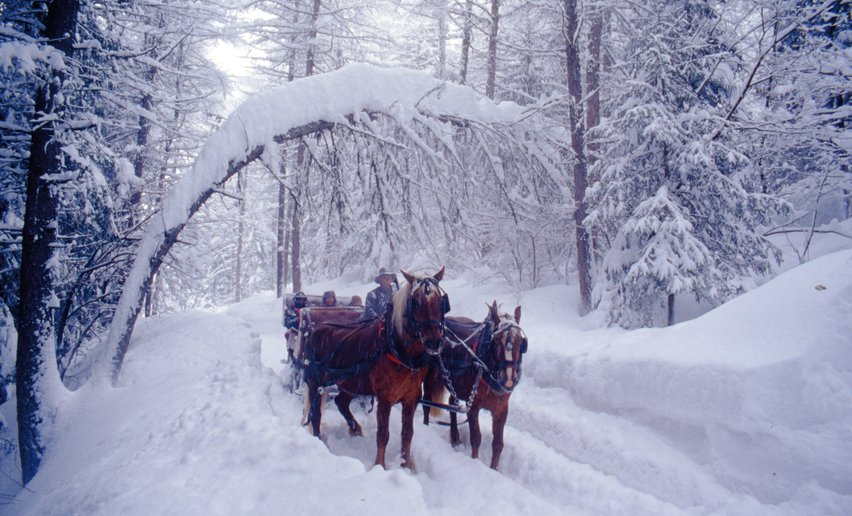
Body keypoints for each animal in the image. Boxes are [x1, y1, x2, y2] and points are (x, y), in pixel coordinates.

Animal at [300, 268, 450, 470]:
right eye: (415, 302)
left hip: (351, 383)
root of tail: (315, 329)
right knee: (316, 413)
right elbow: (383, 434)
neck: (399, 351)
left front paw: (406, 466)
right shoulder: (385, 397)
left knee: (341, 401)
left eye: (441, 302)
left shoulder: (411, 398)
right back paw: (319, 441)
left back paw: (355, 429)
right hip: (316, 382)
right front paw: (380, 465)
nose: (434, 342)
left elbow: (407, 434)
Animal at [422, 300, 524, 470]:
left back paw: (455, 438)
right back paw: (426, 428)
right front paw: (475, 462)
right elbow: (476, 438)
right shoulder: (474, 407)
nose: (508, 379)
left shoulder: (501, 408)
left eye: (522, 343)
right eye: (496, 342)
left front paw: (494, 469)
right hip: (430, 376)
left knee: (452, 404)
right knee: (426, 403)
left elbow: (498, 444)